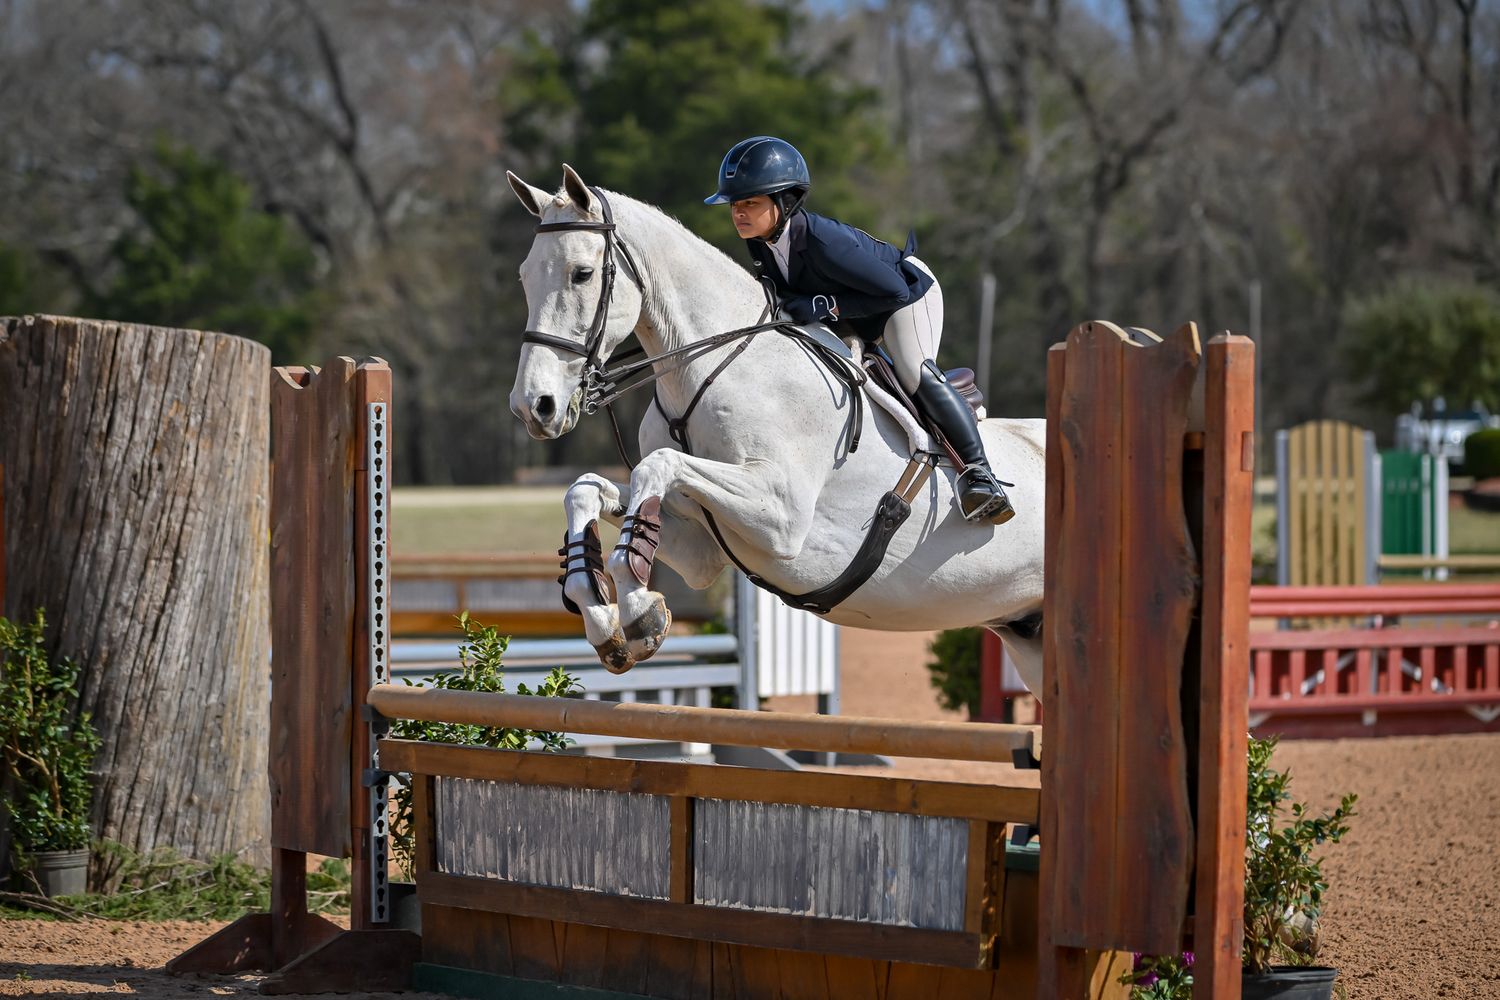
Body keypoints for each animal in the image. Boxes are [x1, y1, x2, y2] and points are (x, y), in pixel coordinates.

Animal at [506, 165, 1048, 694]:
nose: (535, 407)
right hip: (1027, 635)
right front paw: (601, 613)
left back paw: (982, 489)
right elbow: (586, 489)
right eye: (524, 276)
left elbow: (657, 466)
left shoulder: (781, 516)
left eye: (582, 274)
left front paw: (638, 611)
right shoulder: (703, 547)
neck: (712, 366)